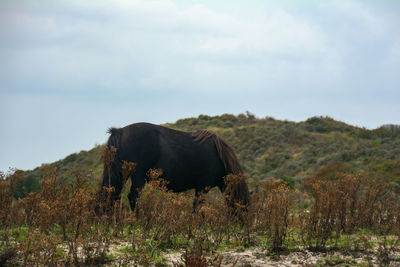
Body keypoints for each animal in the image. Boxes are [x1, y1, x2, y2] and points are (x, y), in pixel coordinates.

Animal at [95, 123, 248, 214]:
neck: (218, 155)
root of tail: (120, 131)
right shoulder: (203, 187)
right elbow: (198, 206)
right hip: (138, 176)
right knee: (133, 197)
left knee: (112, 193)